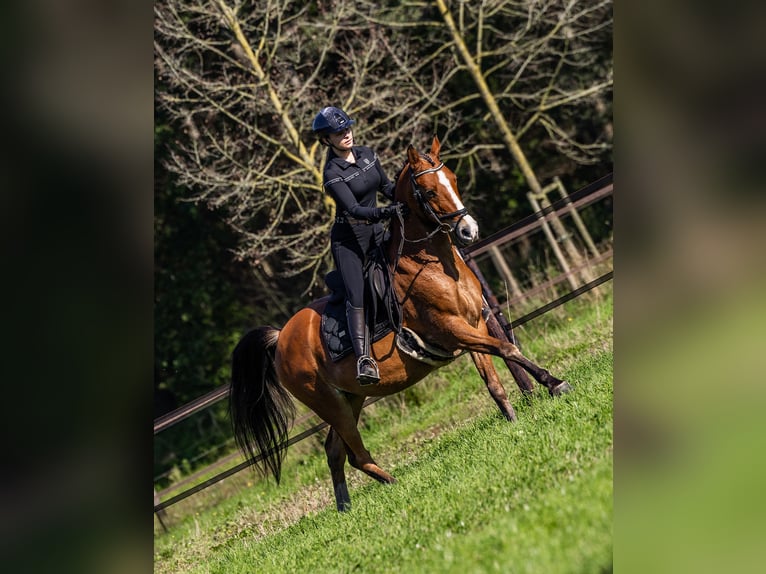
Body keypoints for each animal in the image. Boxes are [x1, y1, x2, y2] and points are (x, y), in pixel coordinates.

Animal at [231, 136, 572, 512]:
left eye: (453, 179)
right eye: (428, 191)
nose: (468, 230)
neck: (432, 263)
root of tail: (281, 338)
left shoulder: (474, 327)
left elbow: (495, 378)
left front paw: (515, 419)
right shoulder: (452, 329)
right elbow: (508, 348)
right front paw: (554, 383)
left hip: (351, 397)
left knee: (334, 451)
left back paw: (346, 507)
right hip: (329, 403)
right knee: (355, 455)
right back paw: (395, 485)